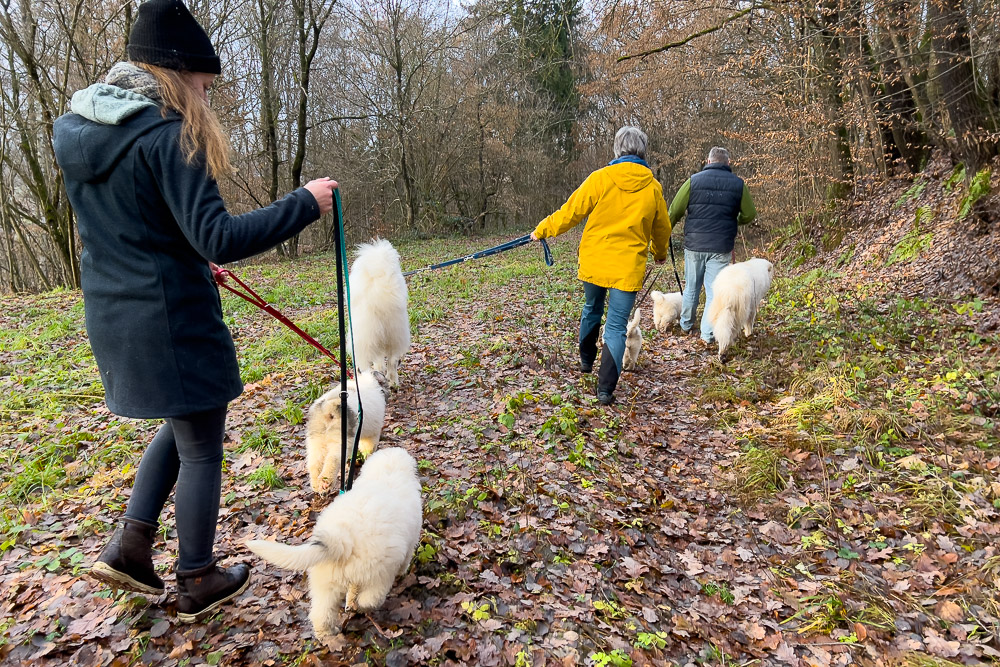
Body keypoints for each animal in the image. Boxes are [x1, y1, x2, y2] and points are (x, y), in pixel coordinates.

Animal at [250, 448, 426, 648]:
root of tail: (342, 540)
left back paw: (328, 634)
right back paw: (359, 607)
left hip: (325, 582)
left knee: (321, 613)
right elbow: (405, 560)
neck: (387, 474)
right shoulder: (410, 541)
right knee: (371, 597)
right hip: (379, 573)